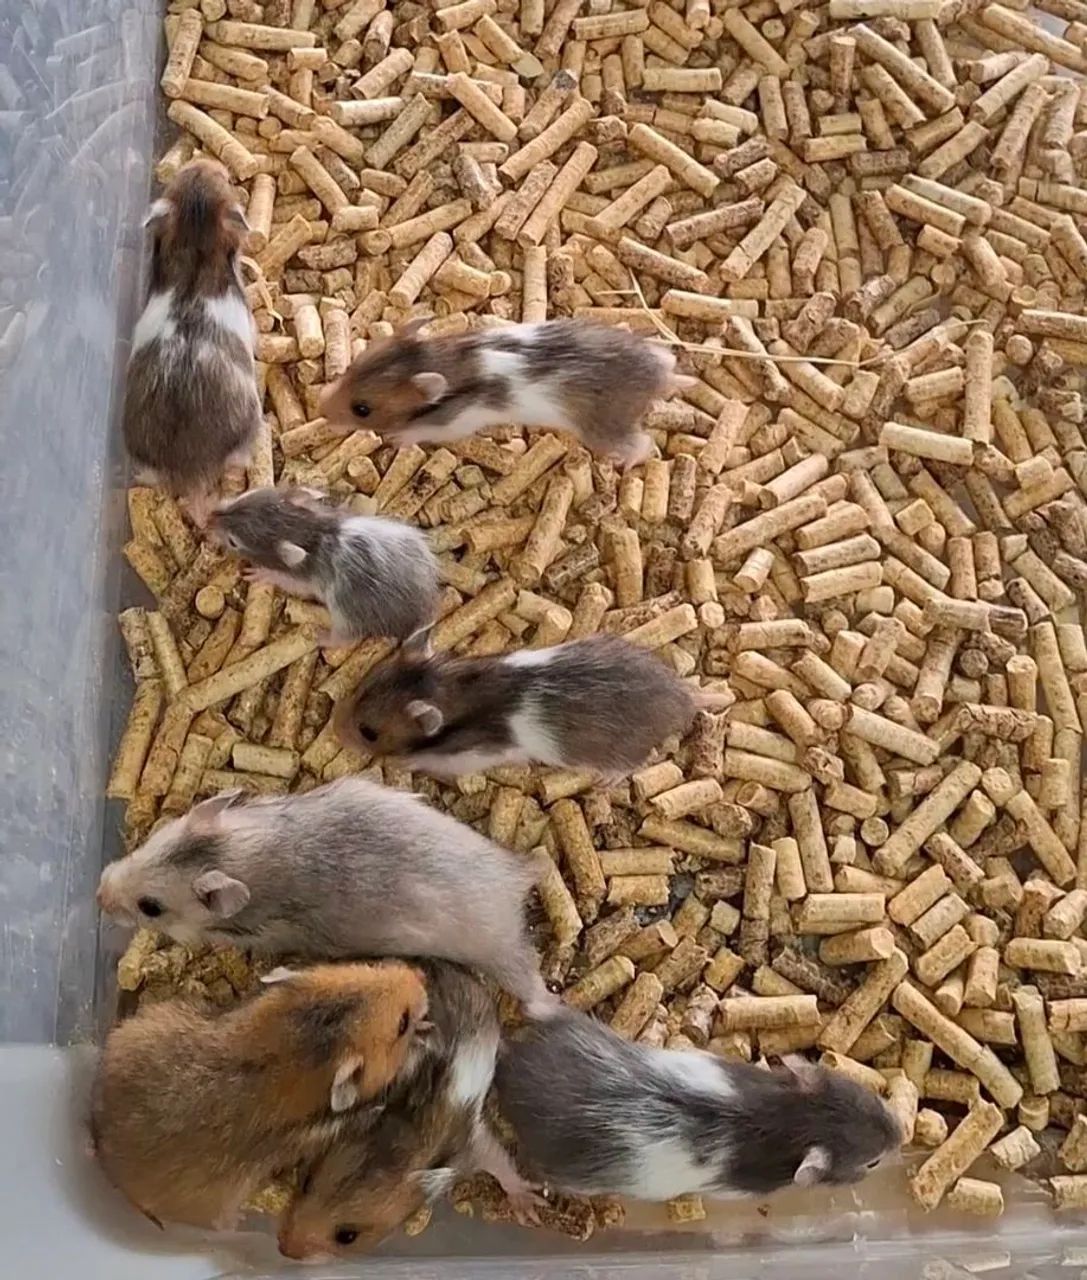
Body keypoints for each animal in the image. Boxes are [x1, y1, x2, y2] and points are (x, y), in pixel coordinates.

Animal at [96, 779, 556, 1017]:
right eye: (156, 838)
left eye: (151, 907)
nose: (99, 894)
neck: (249, 859)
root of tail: (513, 881)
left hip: (502, 955)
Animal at [208, 486, 440, 645]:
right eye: (245, 495)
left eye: (233, 542)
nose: (208, 518)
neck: (310, 531)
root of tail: (422, 617)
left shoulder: (302, 583)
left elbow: (281, 578)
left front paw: (257, 573)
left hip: (345, 619)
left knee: (345, 641)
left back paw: (319, 638)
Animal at [278, 962, 539, 1261]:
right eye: (306, 1181)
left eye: (348, 1236)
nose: (282, 1249)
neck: (402, 1135)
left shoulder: (472, 1145)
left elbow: (501, 1162)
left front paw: (529, 1208)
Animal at [320, 318, 689, 467]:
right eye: (351, 368)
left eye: (362, 409)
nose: (322, 413)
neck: (443, 359)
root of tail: (658, 378)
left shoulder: (455, 422)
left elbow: (420, 430)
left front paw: (398, 438)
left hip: (603, 429)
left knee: (643, 443)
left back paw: (624, 463)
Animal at [334, 631, 711, 780]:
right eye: (364, 682)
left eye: (368, 733)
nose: (335, 729)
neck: (452, 688)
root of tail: (684, 696)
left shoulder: (474, 754)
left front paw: (404, 763)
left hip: (623, 752)